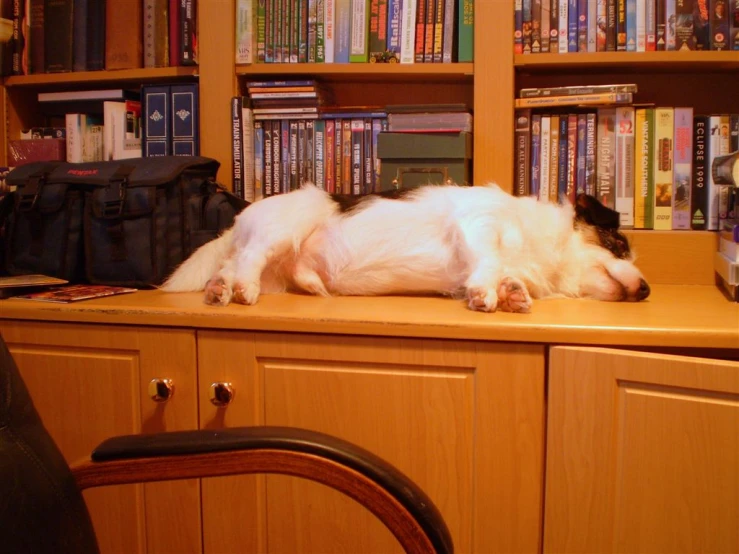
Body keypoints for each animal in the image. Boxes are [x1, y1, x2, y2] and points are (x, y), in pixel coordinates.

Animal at [163, 184, 652, 310]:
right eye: (618, 242)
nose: (647, 290)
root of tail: (238, 220)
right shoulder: (478, 223)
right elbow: (490, 259)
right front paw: (488, 294)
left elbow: (503, 274)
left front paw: (512, 293)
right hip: (290, 222)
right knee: (249, 259)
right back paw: (242, 291)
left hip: (276, 267)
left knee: (229, 270)